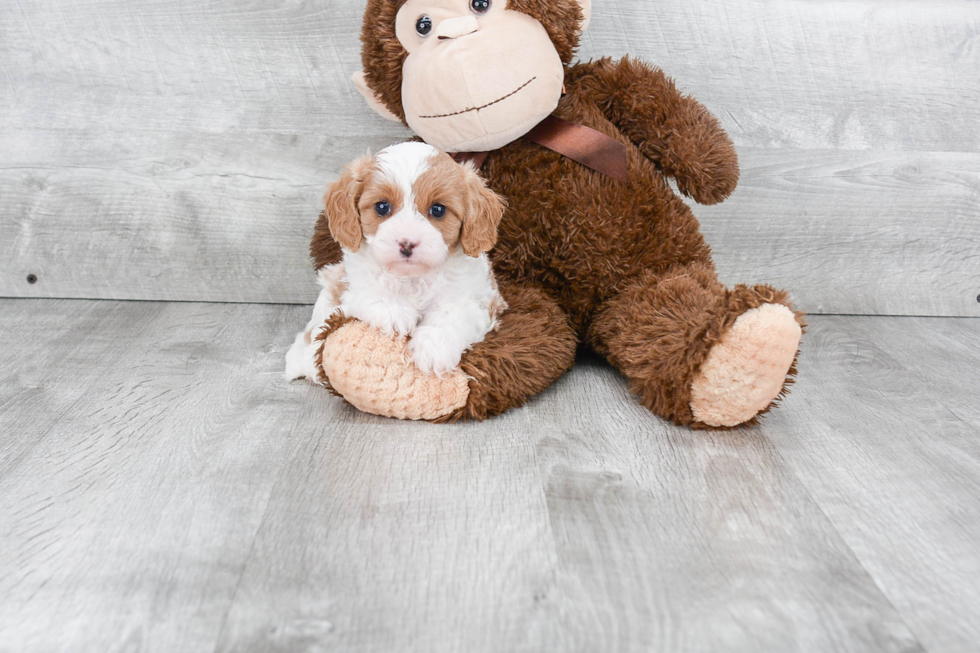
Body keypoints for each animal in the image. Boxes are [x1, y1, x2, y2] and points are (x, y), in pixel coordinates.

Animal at [284, 140, 510, 380]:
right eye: (382, 207)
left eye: (438, 210)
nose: (407, 244)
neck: (413, 278)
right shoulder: (347, 284)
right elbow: (370, 291)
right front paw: (395, 311)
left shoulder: (484, 301)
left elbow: (453, 314)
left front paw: (434, 347)